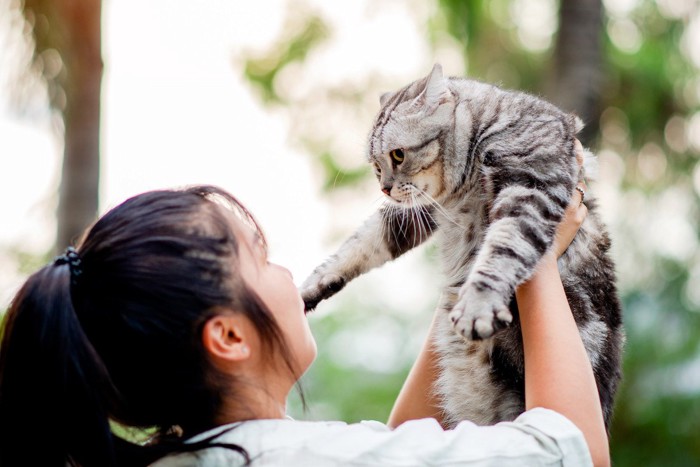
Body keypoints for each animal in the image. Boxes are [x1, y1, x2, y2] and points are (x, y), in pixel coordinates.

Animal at [300, 64, 624, 430]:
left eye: (397, 154)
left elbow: (503, 248)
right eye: (376, 165)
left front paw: (476, 305)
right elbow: (363, 243)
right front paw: (310, 287)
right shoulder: (417, 212)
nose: (384, 188)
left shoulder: (530, 188)